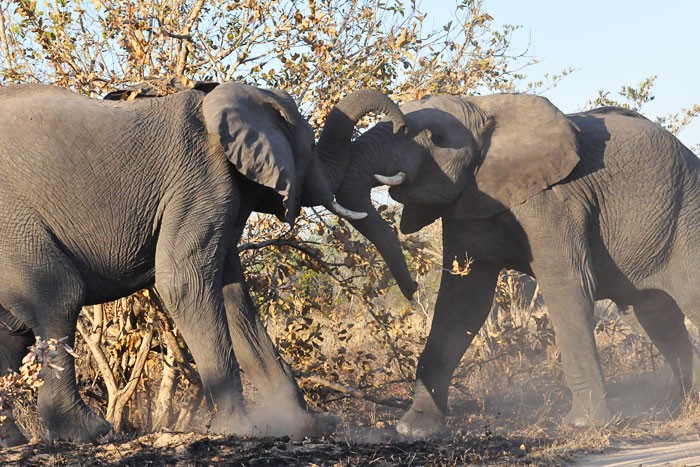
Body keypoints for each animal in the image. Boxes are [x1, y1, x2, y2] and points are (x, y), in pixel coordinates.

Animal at [0, 81, 404, 446]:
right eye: (309, 146)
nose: (401, 126)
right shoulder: (202, 181)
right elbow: (184, 281)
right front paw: (240, 429)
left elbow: (236, 300)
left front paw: (306, 426)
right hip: (11, 224)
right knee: (60, 295)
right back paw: (88, 432)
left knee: (12, 330)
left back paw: (13, 441)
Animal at [330, 92, 700, 438]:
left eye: (435, 137)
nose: (411, 289)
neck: (483, 109)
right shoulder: (467, 204)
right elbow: (461, 304)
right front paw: (413, 429)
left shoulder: (554, 201)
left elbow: (566, 288)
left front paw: (583, 424)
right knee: (654, 317)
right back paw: (681, 406)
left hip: (687, 217)